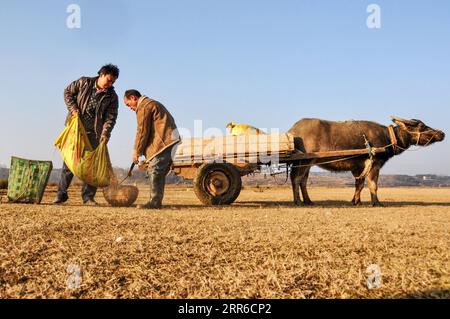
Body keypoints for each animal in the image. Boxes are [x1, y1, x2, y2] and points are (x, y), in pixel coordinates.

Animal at [290, 117, 444, 208]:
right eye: (422, 126)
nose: (442, 133)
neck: (387, 138)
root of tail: (293, 130)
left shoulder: (359, 167)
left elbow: (359, 185)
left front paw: (356, 201)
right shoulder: (375, 164)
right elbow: (373, 185)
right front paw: (376, 202)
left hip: (307, 163)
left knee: (302, 181)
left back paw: (308, 201)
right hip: (304, 161)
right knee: (296, 179)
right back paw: (297, 201)